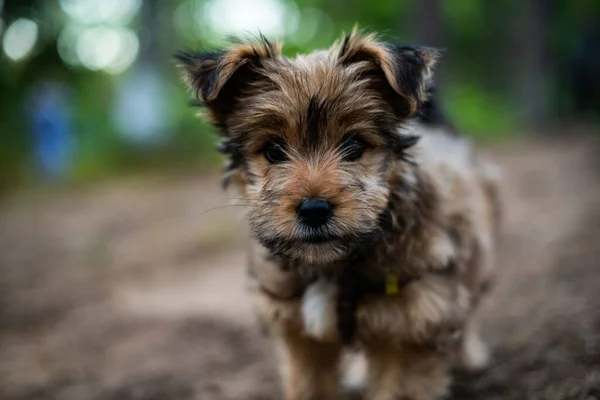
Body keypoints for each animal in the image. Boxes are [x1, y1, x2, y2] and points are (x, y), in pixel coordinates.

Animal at [177, 28, 502, 400]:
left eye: (354, 145)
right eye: (273, 150)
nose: (314, 210)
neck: (334, 266)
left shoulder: (414, 321)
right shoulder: (299, 333)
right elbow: (309, 386)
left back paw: (471, 355)